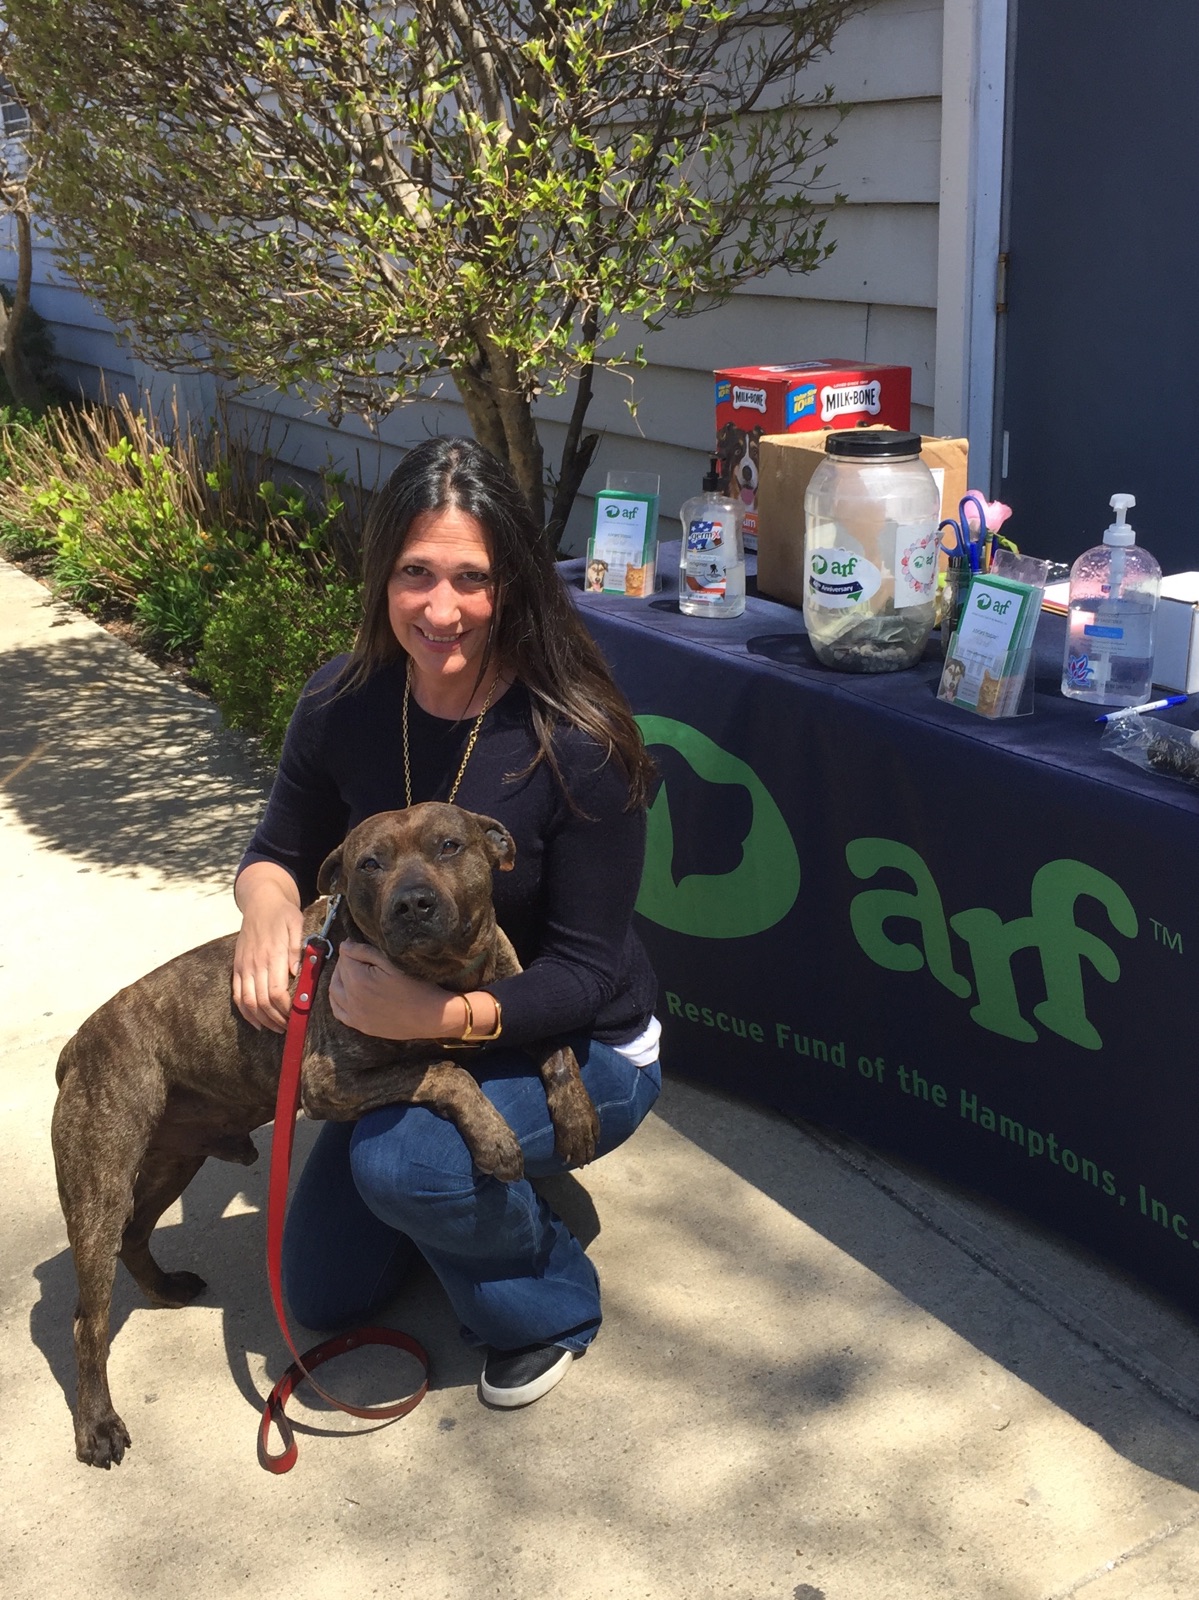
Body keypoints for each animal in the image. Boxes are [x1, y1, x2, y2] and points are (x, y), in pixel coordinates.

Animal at [52, 806, 598, 1465]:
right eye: (370, 863)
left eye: (449, 846)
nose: (412, 903)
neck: (438, 979)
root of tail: (76, 1047)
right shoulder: (327, 1081)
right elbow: (448, 1070)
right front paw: (494, 1137)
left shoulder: (515, 1003)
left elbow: (556, 1041)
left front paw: (576, 1113)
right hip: (100, 1185)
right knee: (87, 1319)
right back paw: (97, 1424)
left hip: (171, 1164)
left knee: (136, 1234)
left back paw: (165, 1287)